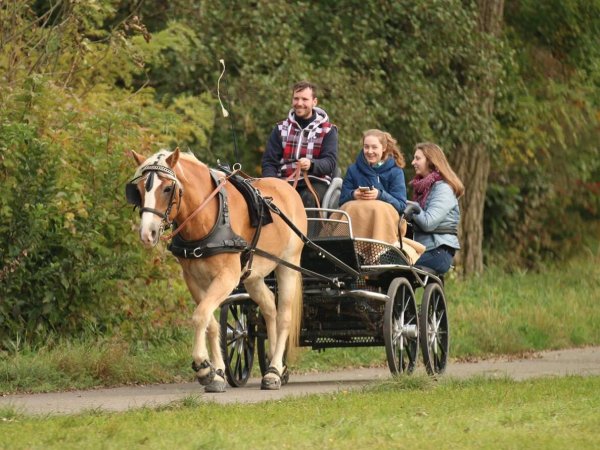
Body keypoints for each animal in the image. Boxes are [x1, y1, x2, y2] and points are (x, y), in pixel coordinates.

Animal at [125, 147, 308, 390]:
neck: (207, 217)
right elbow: (210, 322)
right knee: (270, 308)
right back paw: (274, 366)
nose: (148, 234)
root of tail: (289, 188)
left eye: (166, 188)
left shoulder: (227, 277)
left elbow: (200, 315)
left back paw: (274, 371)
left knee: (284, 316)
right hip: (252, 275)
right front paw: (217, 373)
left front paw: (203, 367)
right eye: (138, 189)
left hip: (288, 264)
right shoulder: (193, 279)